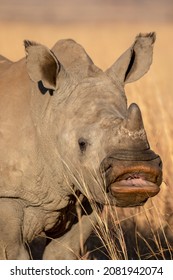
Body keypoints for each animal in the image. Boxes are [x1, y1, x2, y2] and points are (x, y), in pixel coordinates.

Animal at [0, 33, 162, 260]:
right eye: (81, 144)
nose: (137, 170)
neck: (47, 113)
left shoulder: (87, 191)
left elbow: (62, 253)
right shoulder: (8, 194)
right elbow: (14, 254)